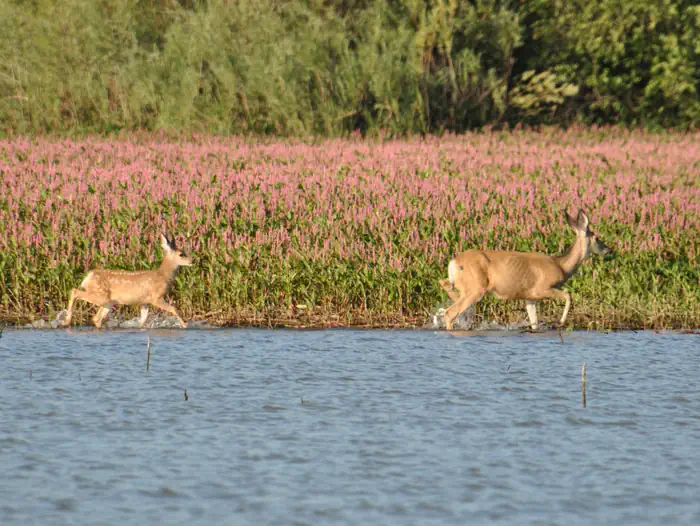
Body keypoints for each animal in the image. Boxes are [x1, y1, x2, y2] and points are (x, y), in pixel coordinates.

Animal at [61, 234, 193, 329]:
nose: (192, 260)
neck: (163, 276)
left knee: (96, 318)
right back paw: (65, 322)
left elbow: (143, 319)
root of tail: (88, 276)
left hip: (108, 301)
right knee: (74, 291)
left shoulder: (144, 302)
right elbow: (173, 309)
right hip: (99, 295)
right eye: (181, 254)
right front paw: (185, 325)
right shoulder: (156, 297)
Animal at [439, 210, 612, 331]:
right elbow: (568, 295)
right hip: (475, 288)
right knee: (450, 313)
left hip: (465, 286)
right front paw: (560, 322)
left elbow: (534, 322)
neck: (561, 265)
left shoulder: (529, 297)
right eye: (596, 238)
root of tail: (454, 262)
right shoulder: (542, 288)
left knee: (444, 284)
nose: (609, 250)